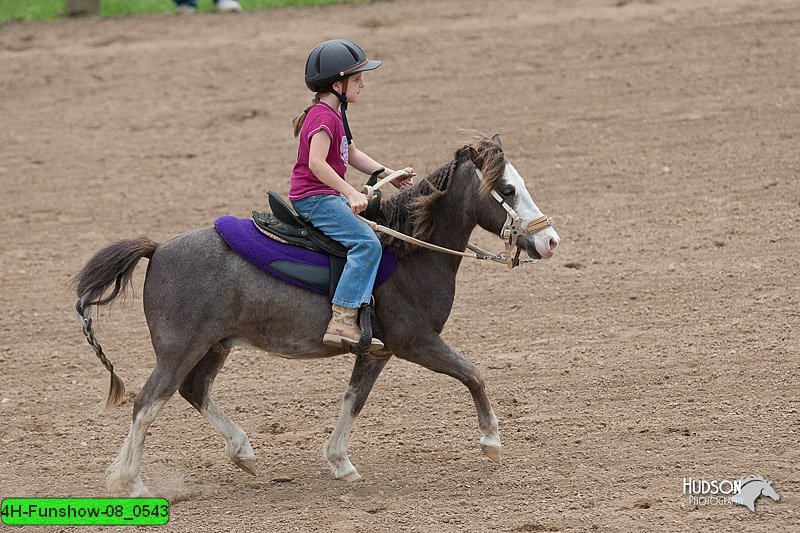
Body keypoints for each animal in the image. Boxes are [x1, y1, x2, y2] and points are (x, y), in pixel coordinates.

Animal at [76, 132, 564, 494]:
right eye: (506, 189)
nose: (550, 241)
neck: (408, 250)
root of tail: (158, 249)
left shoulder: (376, 351)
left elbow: (353, 401)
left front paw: (340, 463)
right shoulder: (416, 341)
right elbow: (473, 374)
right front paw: (491, 441)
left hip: (214, 346)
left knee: (193, 391)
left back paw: (243, 453)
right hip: (179, 349)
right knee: (147, 402)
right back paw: (132, 483)